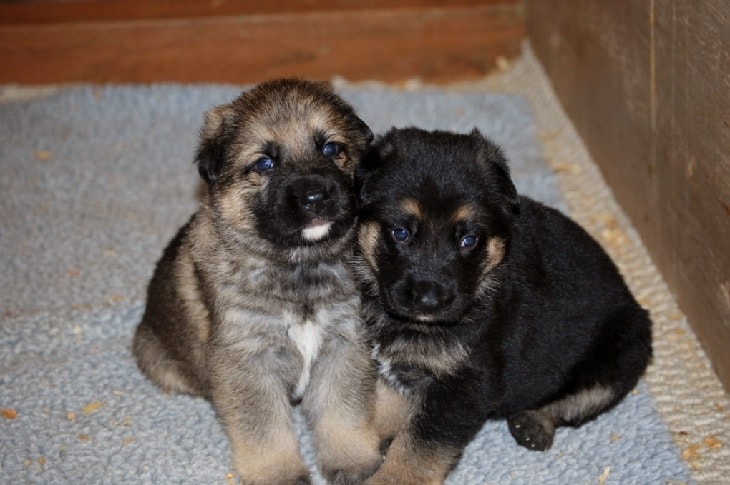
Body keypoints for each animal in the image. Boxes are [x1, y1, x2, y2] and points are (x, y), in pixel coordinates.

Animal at [134, 77, 382, 482]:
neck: (298, 269)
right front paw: (278, 473)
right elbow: (264, 429)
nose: (315, 196)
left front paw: (352, 460)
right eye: (264, 163)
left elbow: (342, 411)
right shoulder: (248, 361)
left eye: (331, 148)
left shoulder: (344, 345)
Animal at [350, 126, 652, 482]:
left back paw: (535, 422)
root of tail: (629, 297)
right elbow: (388, 404)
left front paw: (392, 477)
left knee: (581, 400)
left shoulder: (466, 385)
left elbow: (419, 446)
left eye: (469, 240)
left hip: (627, 350)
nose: (429, 300)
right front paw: (378, 439)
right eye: (400, 233)